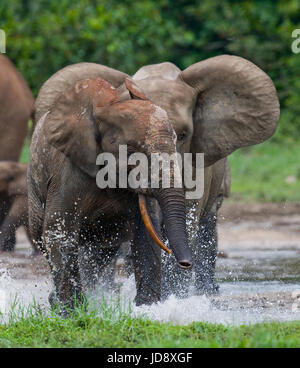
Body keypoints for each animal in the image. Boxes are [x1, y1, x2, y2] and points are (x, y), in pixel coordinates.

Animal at [28, 55, 278, 310]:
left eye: (183, 136)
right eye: (130, 150)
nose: (185, 263)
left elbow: (161, 229)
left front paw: (158, 304)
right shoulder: (67, 172)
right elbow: (60, 231)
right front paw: (70, 310)